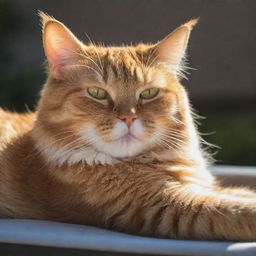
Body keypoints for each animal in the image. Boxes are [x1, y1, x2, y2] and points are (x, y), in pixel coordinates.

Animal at [0, 11, 256, 240]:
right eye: (97, 93)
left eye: (148, 93)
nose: (129, 118)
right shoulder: (165, 205)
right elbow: (235, 209)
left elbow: (240, 194)